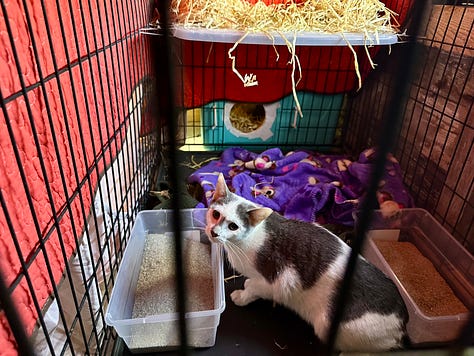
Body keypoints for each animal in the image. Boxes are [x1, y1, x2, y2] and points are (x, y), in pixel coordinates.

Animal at [206, 174, 410, 352]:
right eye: (215, 214)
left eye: (233, 226)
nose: (214, 232)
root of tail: (402, 327)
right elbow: (253, 282)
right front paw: (247, 284)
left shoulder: (281, 281)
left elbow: (256, 289)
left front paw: (242, 295)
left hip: (327, 324)